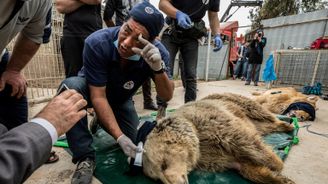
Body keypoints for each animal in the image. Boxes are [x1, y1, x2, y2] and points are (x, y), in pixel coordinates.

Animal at [142, 93, 294, 184]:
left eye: (163, 164)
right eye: (157, 179)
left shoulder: (217, 126)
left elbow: (249, 143)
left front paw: (278, 164)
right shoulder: (216, 157)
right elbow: (246, 168)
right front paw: (280, 179)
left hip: (239, 103)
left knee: (263, 113)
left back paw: (288, 124)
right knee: (264, 126)